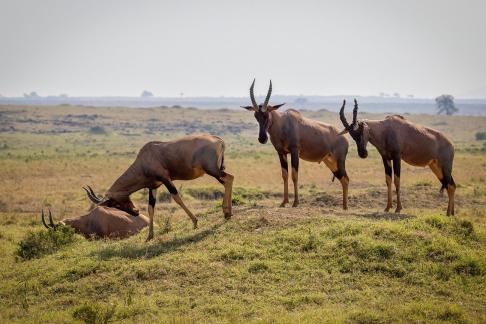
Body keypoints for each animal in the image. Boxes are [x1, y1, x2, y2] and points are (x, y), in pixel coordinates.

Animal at [85, 134, 234, 240]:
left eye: (113, 204)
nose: (135, 212)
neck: (145, 158)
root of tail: (218, 140)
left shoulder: (166, 179)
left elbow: (176, 198)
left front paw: (195, 222)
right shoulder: (153, 186)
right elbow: (151, 208)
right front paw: (149, 236)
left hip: (212, 170)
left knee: (229, 179)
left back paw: (227, 213)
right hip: (216, 170)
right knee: (229, 179)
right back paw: (228, 213)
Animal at [242, 79, 350, 209]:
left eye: (267, 114)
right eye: (256, 116)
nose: (262, 138)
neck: (284, 122)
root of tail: (344, 137)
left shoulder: (294, 151)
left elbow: (294, 175)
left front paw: (295, 203)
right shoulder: (281, 153)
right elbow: (284, 175)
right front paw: (284, 202)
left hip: (339, 161)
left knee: (346, 179)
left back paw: (345, 207)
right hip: (330, 162)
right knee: (343, 179)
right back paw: (344, 206)